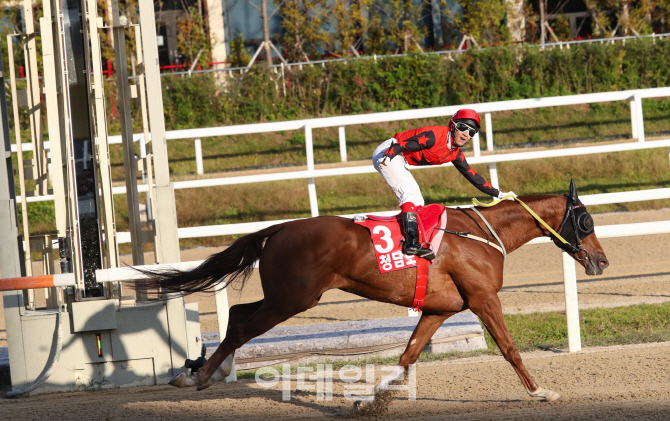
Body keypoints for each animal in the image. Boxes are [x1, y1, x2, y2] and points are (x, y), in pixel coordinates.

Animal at [142, 179, 608, 408]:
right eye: (586, 221)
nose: (602, 261)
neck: (483, 234)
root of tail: (279, 228)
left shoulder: (439, 309)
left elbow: (407, 357)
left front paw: (372, 400)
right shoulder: (482, 299)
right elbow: (510, 349)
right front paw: (540, 392)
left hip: (286, 297)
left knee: (238, 312)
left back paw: (201, 369)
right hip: (292, 299)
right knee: (241, 327)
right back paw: (198, 376)